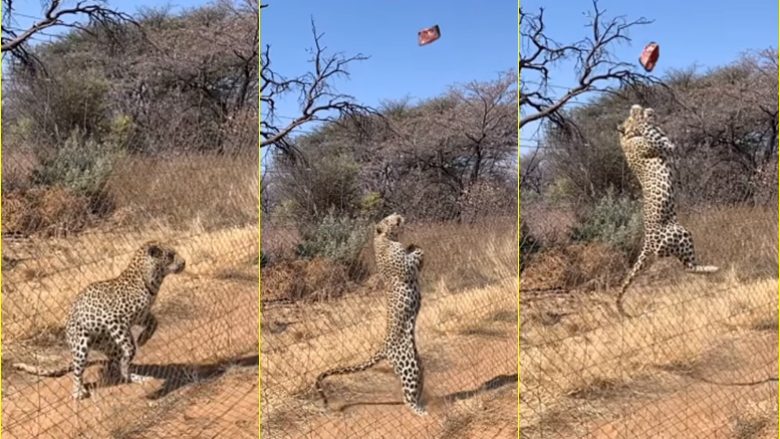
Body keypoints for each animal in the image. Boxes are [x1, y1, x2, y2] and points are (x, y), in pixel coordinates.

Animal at [11, 242, 185, 400]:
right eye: (171, 255)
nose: (184, 262)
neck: (151, 282)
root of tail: (67, 330)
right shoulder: (115, 319)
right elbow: (130, 346)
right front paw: (136, 347)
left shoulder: (141, 315)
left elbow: (154, 322)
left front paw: (143, 339)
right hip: (81, 344)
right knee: (78, 371)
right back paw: (78, 391)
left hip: (110, 345)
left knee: (117, 366)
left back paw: (136, 377)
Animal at [316, 215, 430, 418]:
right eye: (390, 219)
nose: (399, 216)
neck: (386, 239)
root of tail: (384, 345)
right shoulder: (405, 268)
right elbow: (412, 258)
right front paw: (415, 247)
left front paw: (411, 245)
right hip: (407, 364)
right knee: (406, 395)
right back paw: (418, 410)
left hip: (416, 362)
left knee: (417, 382)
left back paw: (421, 401)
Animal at [616, 105, 720, 318]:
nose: (636, 109)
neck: (626, 141)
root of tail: (647, 242)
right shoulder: (664, 145)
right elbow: (653, 133)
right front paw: (640, 116)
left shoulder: (664, 140)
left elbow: (658, 132)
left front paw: (645, 112)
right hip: (681, 234)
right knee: (689, 268)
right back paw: (712, 269)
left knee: (687, 266)